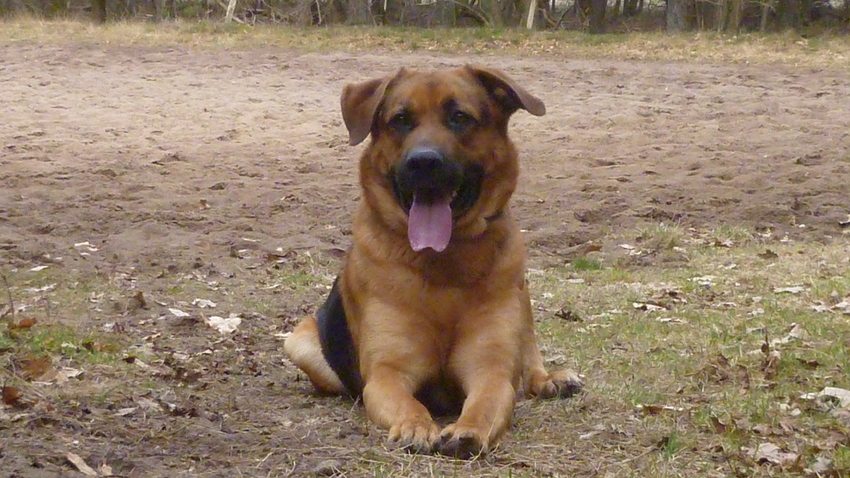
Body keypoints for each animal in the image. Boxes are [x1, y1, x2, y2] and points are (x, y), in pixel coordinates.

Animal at [284, 65, 583, 458]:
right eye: (400, 120)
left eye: (459, 117)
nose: (423, 162)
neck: (444, 267)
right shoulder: (387, 374)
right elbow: (408, 403)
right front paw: (415, 426)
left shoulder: (489, 368)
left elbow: (487, 401)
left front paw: (468, 429)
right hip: (300, 341)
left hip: (521, 297)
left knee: (529, 355)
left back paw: (550, 380)